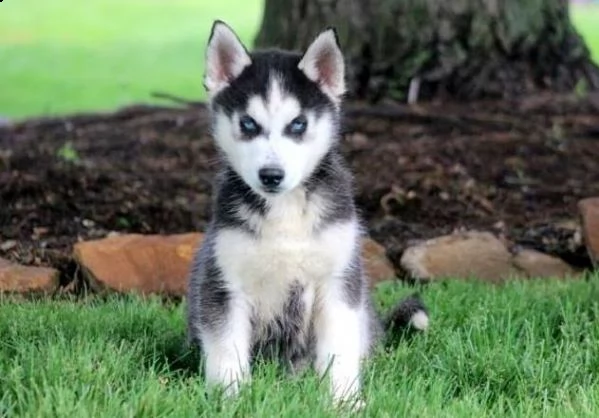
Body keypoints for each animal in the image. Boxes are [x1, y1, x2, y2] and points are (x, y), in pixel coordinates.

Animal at [188, 20, 426, 404]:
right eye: (248, 123)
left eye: (298, 124)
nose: (271, 175)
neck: (284, 212)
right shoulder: (223, 282)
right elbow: (226, 349)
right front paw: (230, 398)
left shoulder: (338, 281)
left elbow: (339, 350)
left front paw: (345, 401)